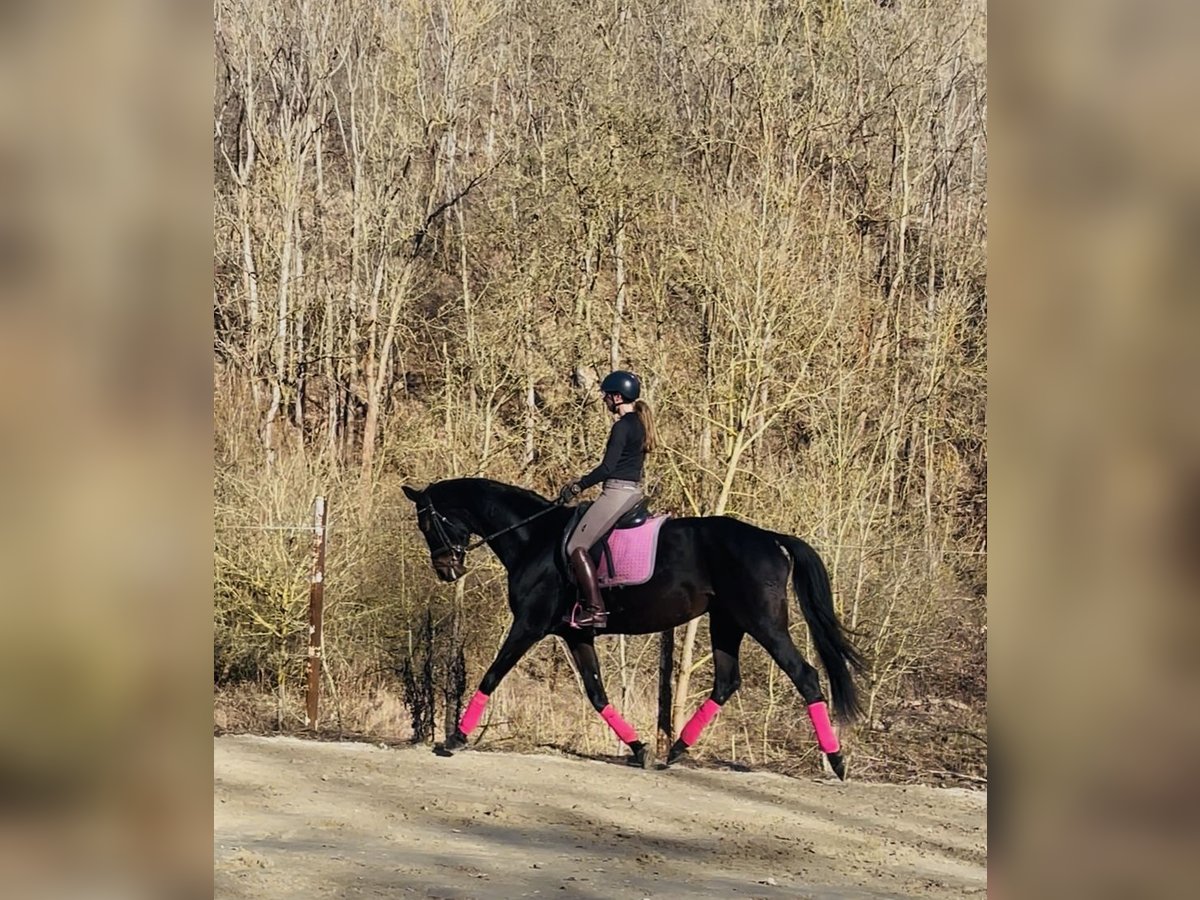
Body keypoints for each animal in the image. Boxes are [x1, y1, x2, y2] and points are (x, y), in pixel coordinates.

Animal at [400, 480, 864, 782]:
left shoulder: (529, 625)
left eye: (426, 522)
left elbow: (492, 675)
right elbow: (596, 693)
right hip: (727, 622)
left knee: (805, 676)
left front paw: (456, 738)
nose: (446, 570)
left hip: (763, 623)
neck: (532, 537)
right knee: (726, 681)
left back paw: (837, 761)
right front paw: (639, 749)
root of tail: (770, 538)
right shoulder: (576, 634)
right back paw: (674, 751)